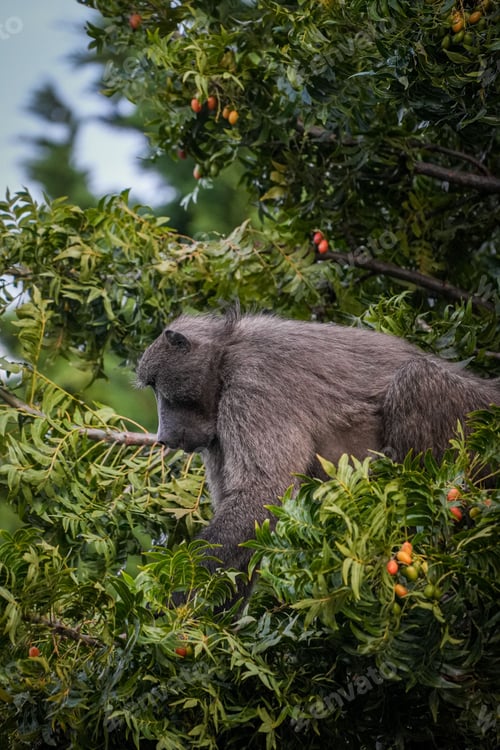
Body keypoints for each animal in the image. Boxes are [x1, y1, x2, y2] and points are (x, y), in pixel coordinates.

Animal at [136, 309, 499, 584]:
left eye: (159, 387)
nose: (163, 437)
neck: (226, 353)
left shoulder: (251, 388)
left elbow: (262, 495)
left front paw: (173, 588)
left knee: (414, 379)